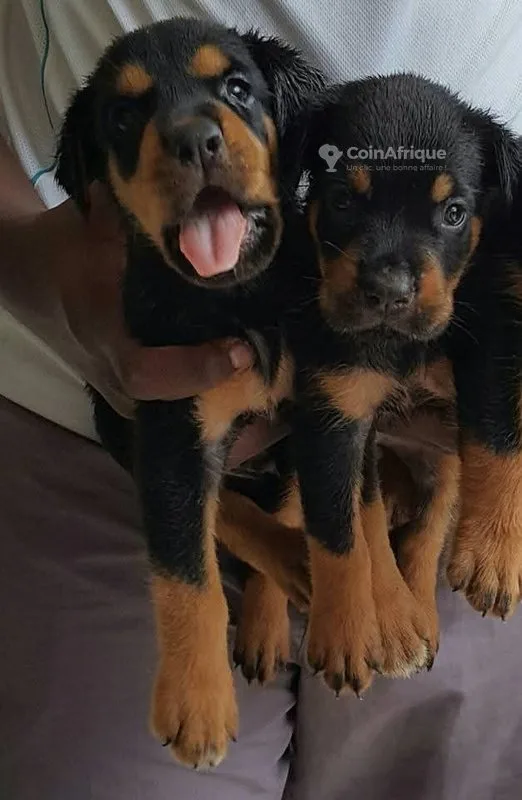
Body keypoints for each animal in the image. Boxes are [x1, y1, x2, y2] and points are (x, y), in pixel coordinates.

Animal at [55, 17, 324, 769]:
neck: (239, 301)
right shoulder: (172, 422)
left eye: (237, 88)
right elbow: (184, 564)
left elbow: (291, 504)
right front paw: (195, 703)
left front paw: (264, 620)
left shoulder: (310, 409)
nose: (194, 140)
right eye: (123, 118)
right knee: (215, 508)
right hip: (115, 416)